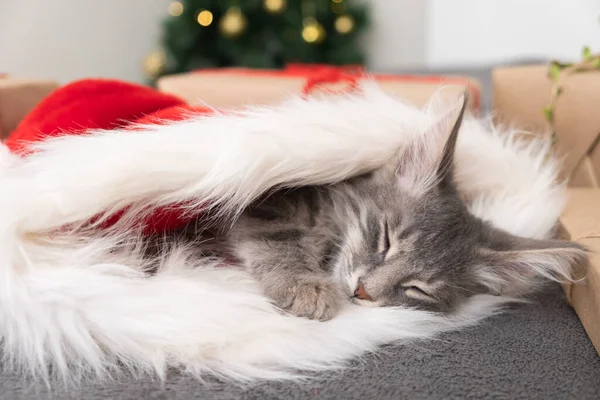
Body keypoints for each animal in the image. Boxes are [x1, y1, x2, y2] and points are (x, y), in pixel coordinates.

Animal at [168, 94, 584, 322]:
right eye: (385, 240)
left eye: (417, 288)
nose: (363, 292)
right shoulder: (266, 202)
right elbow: (279, 239)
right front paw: (305, 286)